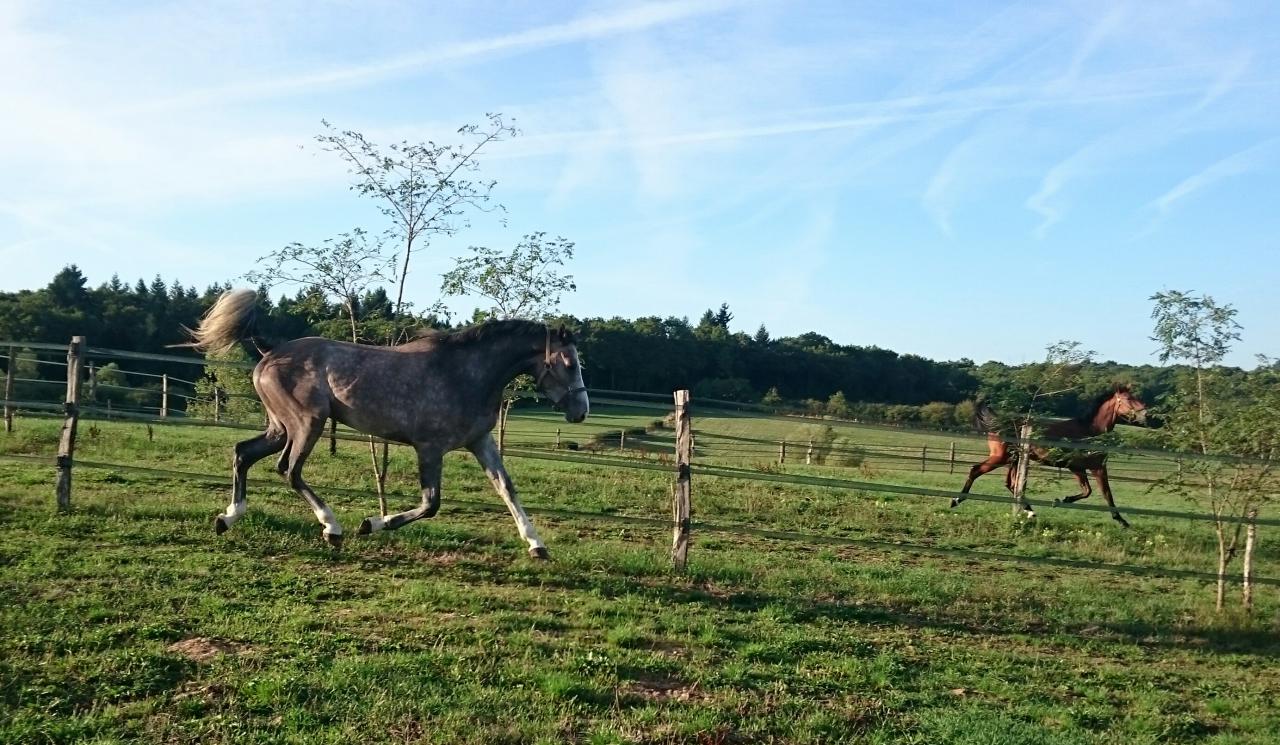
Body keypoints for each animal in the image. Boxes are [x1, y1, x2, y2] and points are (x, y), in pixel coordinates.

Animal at [187, 289, 589, 558]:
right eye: (569, 363)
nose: (581, 411)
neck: (465, 373)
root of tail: (271, 350)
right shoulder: (430, 448)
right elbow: (431, 504)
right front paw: (371, 524)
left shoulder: (480, 441)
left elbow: (507, 488)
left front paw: (537, 545)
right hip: (308, 423)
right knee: (289, 470)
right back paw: (332, 528)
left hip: (281, 427)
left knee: (244, 453)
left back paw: (228, 518)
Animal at [949, 386, 1147, 526]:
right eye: (1129, 398)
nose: (1145, 413)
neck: (1090, 431)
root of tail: (999, 423)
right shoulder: (1092, 467)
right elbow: (1105, 493)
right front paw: (1121, 520)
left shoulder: (1079, 468)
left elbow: (1088, 491)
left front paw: (1062, 499)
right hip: (1001, 458)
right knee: (976, 470)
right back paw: (956, 500)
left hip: (1014, 460)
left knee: (1011, 484)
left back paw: (1030, 511)